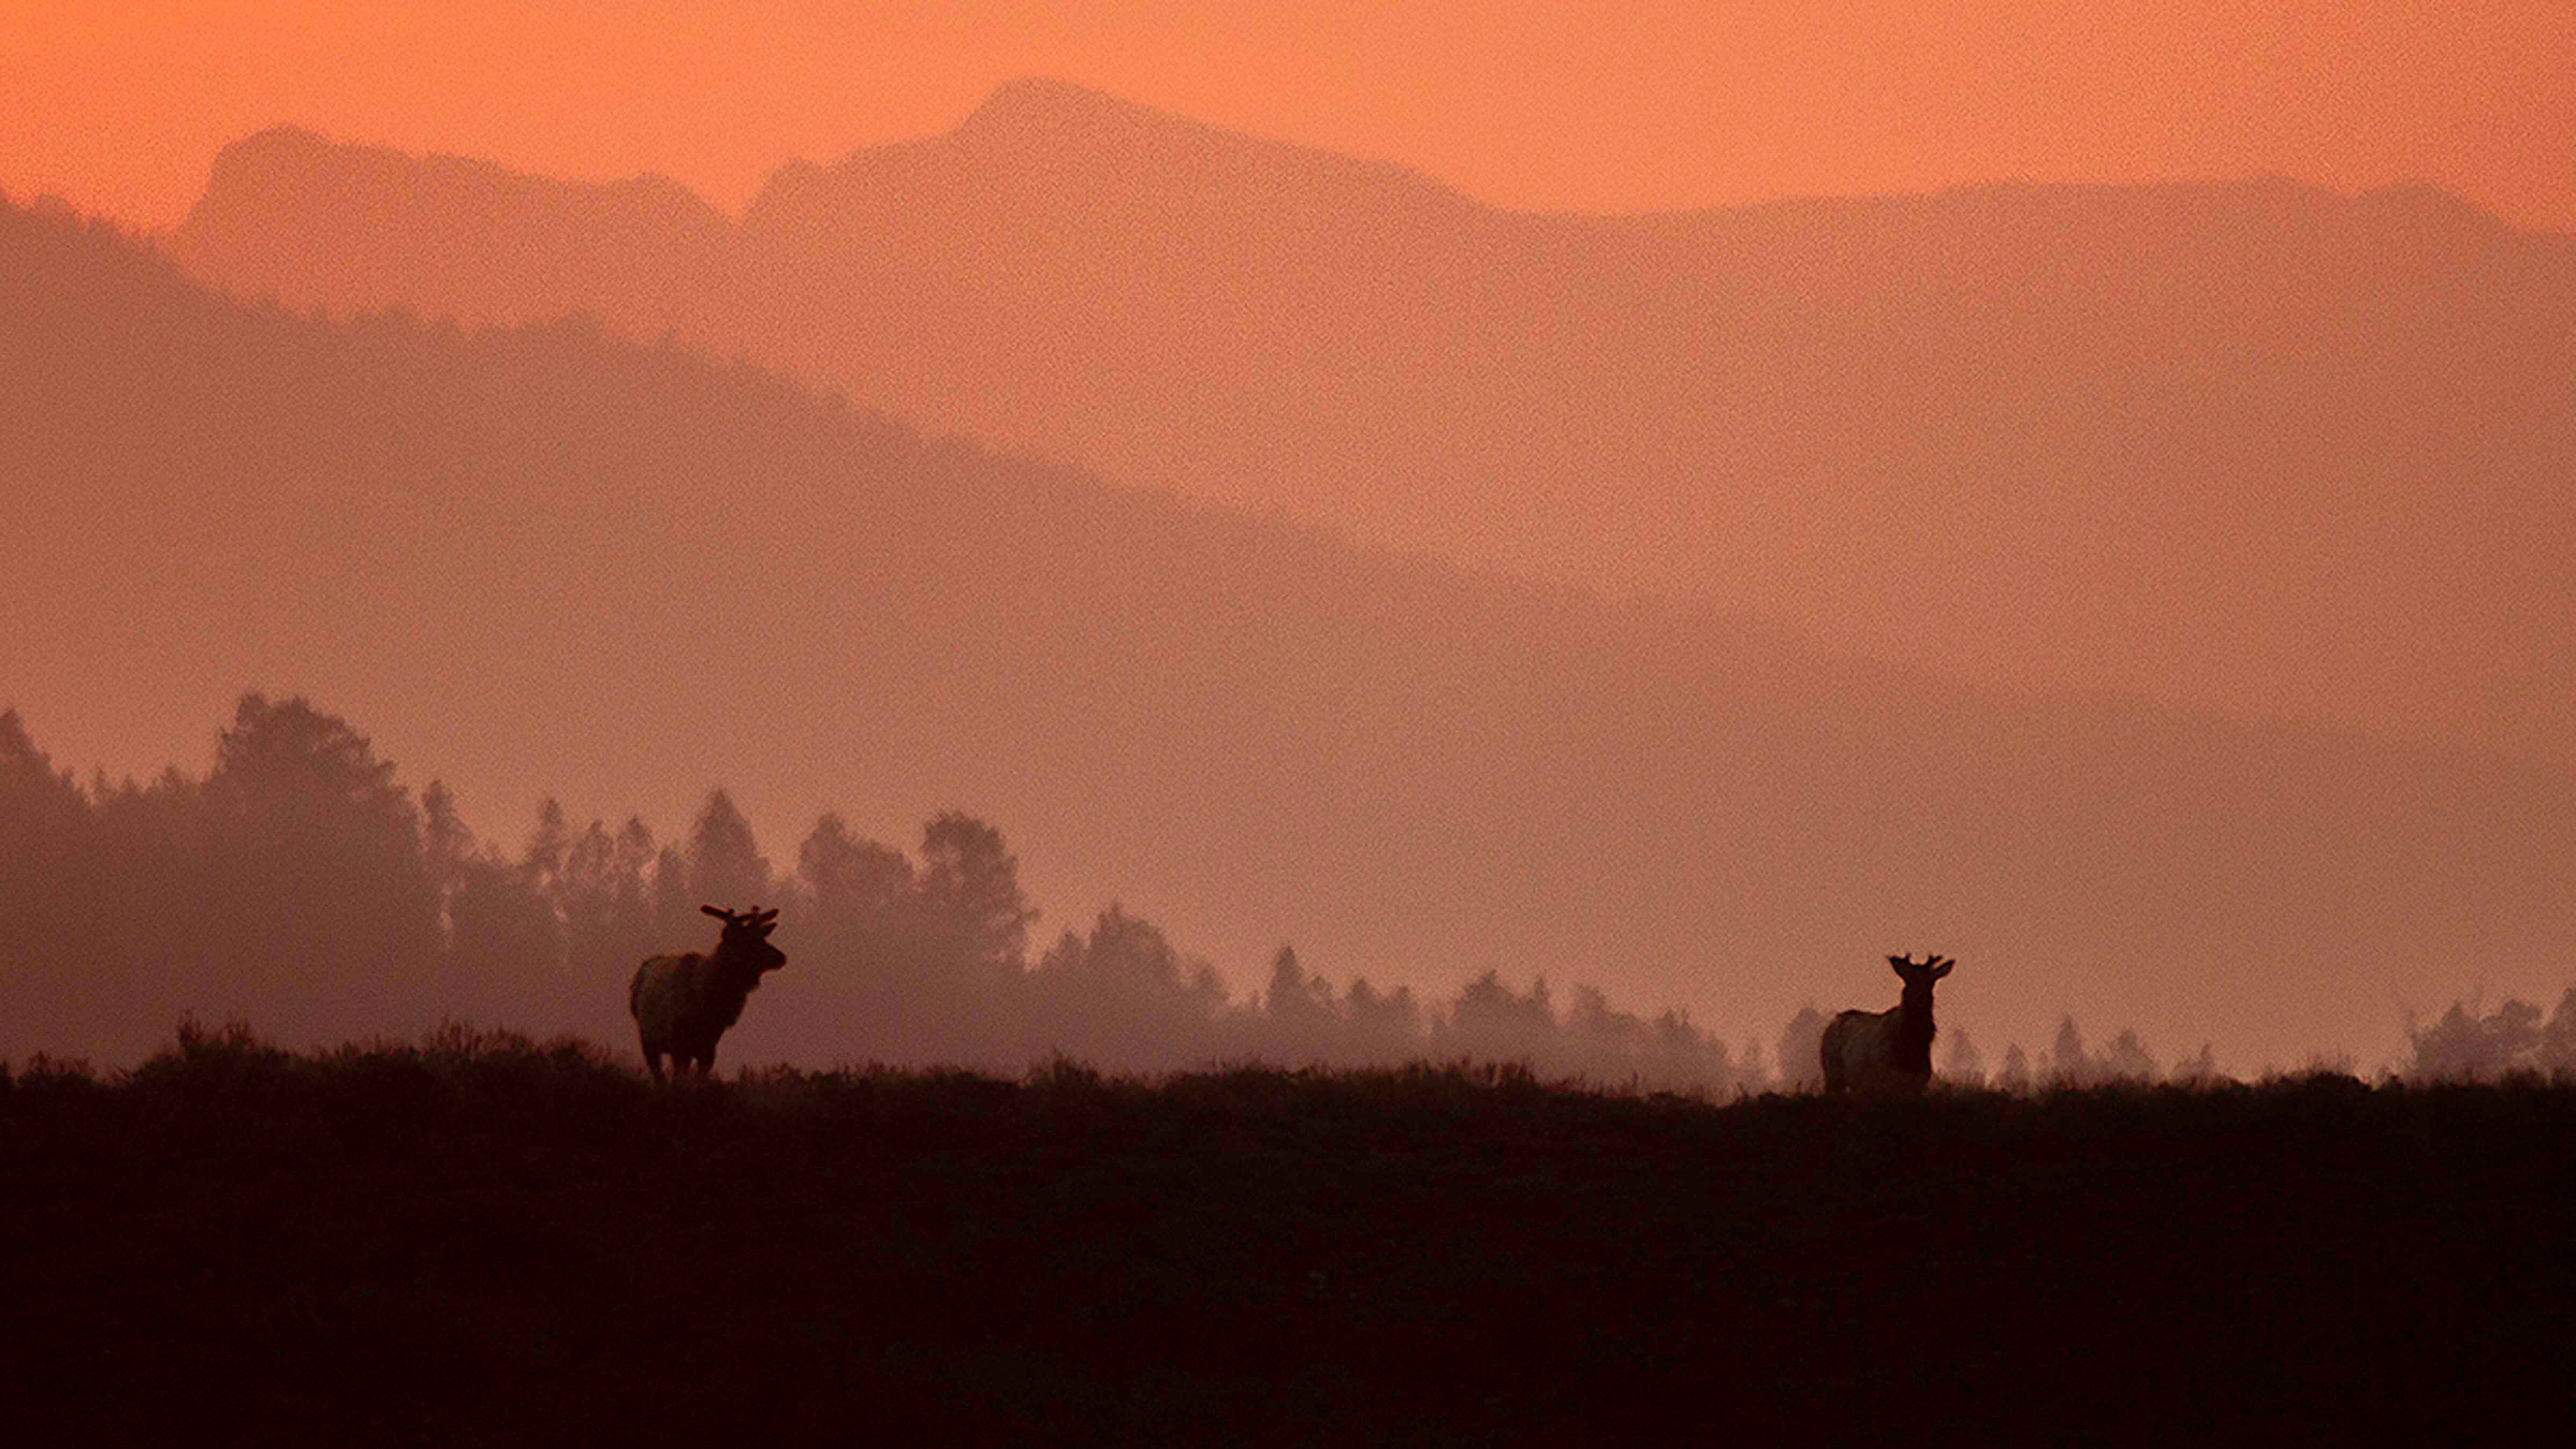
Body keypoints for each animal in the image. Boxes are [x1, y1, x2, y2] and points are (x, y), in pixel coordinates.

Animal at [629, 905, 786, 1083]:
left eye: (763, 937)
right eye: (748, 941)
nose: (781, 957)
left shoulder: (709, 1048)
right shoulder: (678, 1044)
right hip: (648, 1041)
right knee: (658, 1076)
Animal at [1819, 954, 1954, 1095]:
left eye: (1931, 982)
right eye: (1908, 980)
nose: (1919, 999)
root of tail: (1832, 1023)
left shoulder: (1919, 1083)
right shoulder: (1886, 1080)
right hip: (1832, 1074)